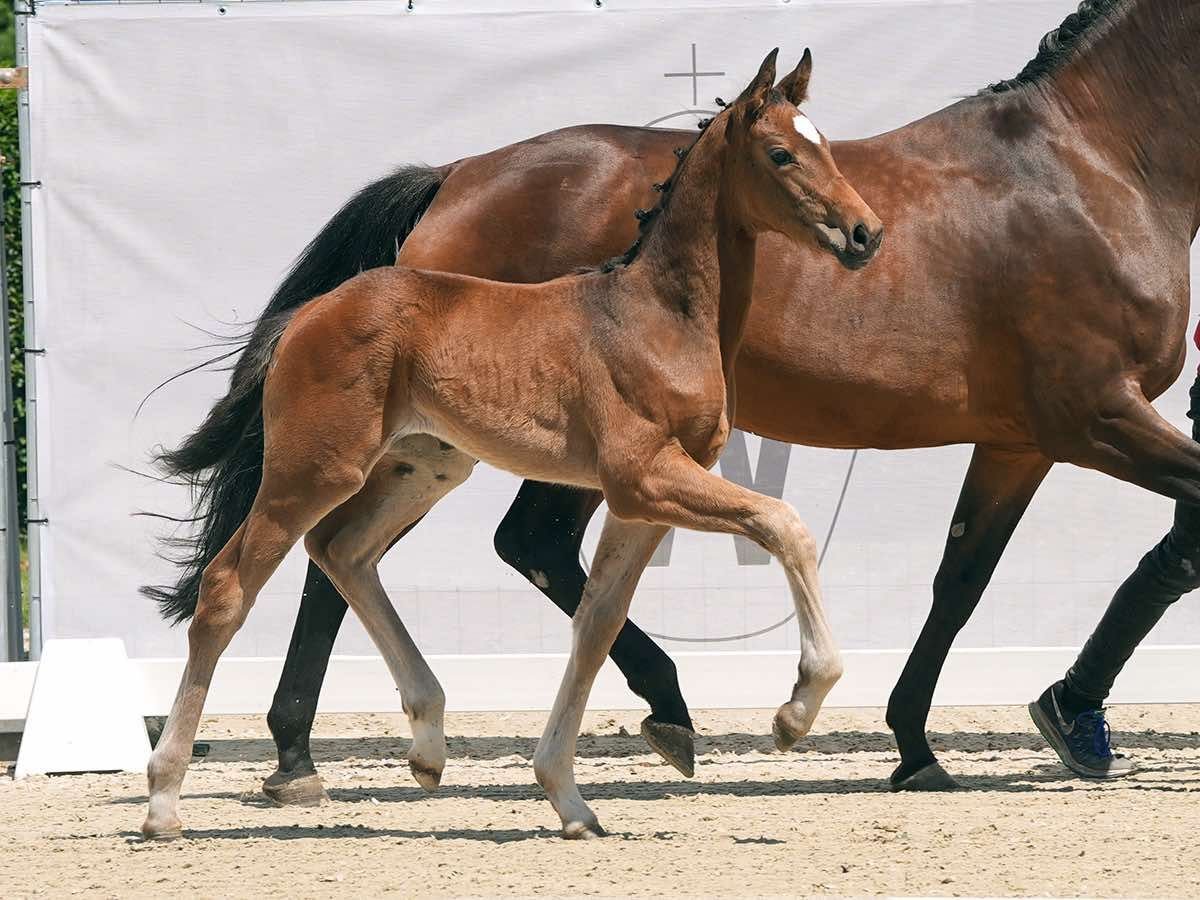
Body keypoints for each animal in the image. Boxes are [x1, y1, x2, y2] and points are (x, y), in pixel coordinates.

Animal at [145, 52, 888, 844]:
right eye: (781, 153)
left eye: (827, 147)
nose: (865, 233)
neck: (658, 315)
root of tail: (309, 313)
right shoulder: (642, 477)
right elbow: (785, 526)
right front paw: (796, 709)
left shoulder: (642, 501)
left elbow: (596, 626)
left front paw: (569, 799)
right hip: (314, 469)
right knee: (228, 588)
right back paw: (163, 801)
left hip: (427, 464)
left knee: (343, 550)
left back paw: (429, 744)